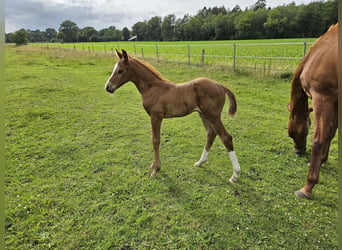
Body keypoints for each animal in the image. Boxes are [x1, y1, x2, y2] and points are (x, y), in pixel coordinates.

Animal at [288, 23, 338, 199]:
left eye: (291, 133)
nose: (298, 151)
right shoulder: (336, 100)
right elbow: (330, 133)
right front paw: (322, 160)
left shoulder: (322, 97)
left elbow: (318, 140)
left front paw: (307, 187)